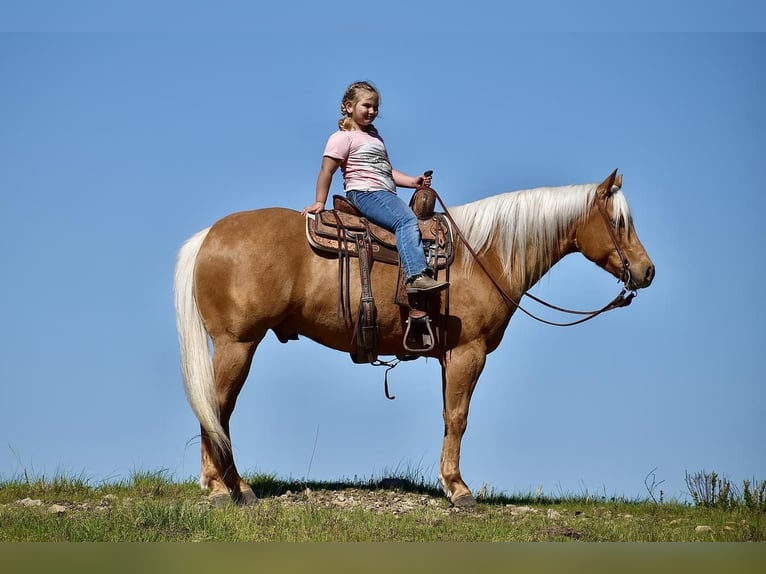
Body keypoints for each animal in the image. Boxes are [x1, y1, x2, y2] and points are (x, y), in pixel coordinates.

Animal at [176, 169, 660, 506]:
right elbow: (459, 418)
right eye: (619, 222)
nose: (647, 270)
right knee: (216, 409)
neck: (483, 255)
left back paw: (228, 486)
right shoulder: (469, 352)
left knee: (217, 410)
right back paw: (225, 488)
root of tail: (208, 236)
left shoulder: (449, 356)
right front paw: (459, 490)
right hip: (237, 344)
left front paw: (450, 483)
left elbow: (448, 417)